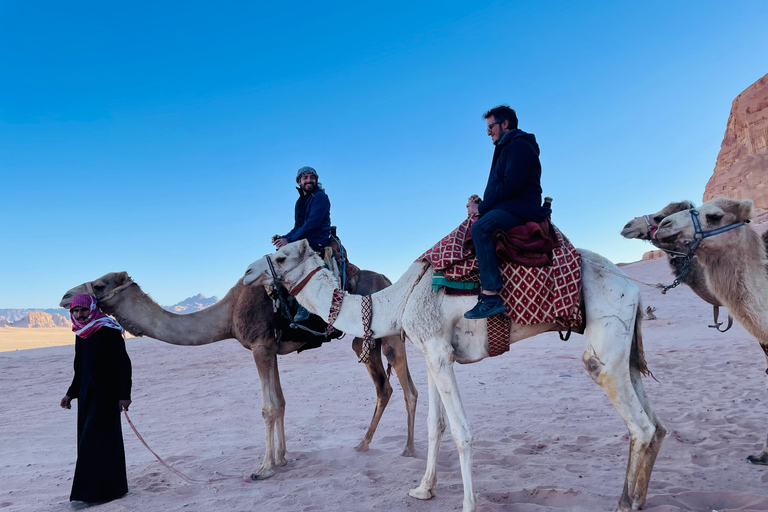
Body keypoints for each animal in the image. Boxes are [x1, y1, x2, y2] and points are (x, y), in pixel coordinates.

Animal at [60, 270, 420, 482]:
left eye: (100, 284)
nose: (66, 297)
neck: (228, 314)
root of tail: (388, 281)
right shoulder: (270, 348)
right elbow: (281, 403)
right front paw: (282, 458)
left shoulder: (260, 345)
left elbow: (268, 407)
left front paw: (263, 469)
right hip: (365, 341)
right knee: (384, 388)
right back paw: (362, 444)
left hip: (389, 333)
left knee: (408, 388)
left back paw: (408, 450)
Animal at [243, 240, 664, 512]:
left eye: (280, 256)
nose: (247, 272)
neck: (399, 300)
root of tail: (632, 287)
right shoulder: (433, 352)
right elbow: (436, 425)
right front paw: (423, 489)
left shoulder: (438, 352)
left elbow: (462, 432)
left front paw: (467, 503)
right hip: (626, 348)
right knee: (655, 426)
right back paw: (635, 499)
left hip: (605, 339)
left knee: (638, 423)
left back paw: (625, 504)